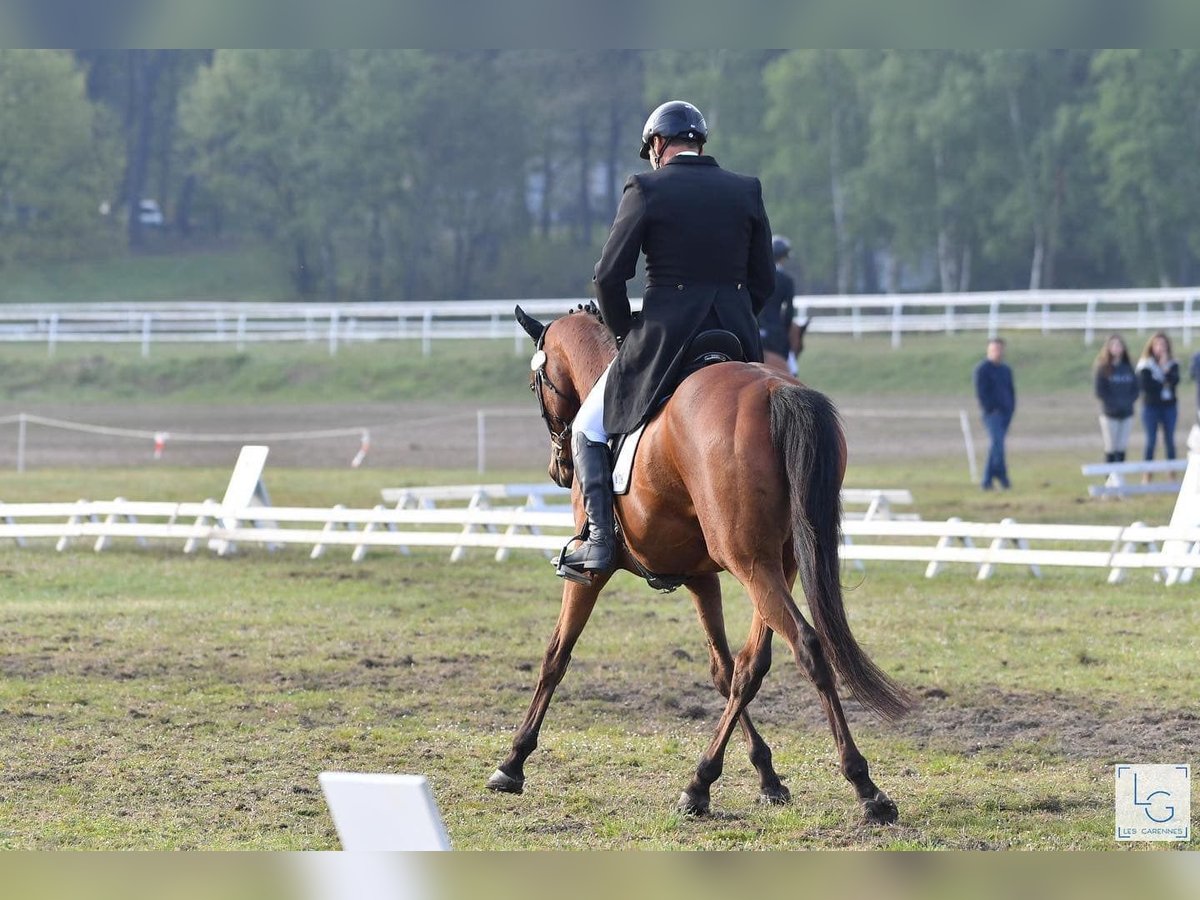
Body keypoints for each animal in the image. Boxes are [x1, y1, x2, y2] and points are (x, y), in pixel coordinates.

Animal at [487, 307, 907, 830]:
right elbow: (723, 670)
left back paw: (857, 787)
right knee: (754, 663)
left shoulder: (591, 575)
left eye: (534, 384)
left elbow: (554, 657)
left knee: (808, 646)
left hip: (750, 563)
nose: (559, 470)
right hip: (778, 563)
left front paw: (512, 762)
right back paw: (707, 781)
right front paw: (767, 776)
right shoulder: (702, 579)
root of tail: (774, 388)